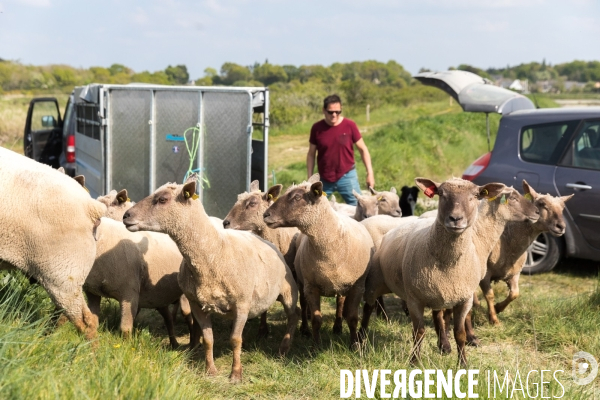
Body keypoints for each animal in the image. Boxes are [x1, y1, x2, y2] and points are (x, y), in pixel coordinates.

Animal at [122, 177, 300, 382]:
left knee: (294, 315)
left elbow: (235, 339)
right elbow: (208, 339)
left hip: (288, 289)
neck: (215, 252)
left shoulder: (242, 304)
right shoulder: (197, 304)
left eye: (162, 199)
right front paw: (210, 370)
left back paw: (284, 348)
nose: (126, 216)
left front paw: (235, 374)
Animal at [360, 178, 540, 366]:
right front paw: (415, 362)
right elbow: (419, 332)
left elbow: (459, 331)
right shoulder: (416, 299)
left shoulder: (461, 292)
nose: (455, 219)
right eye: (441, 194)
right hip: (375, 281)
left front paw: (463, 360)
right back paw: (361, 340)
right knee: (368, 307)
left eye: (475, 196)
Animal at [482, 181, 572, 324]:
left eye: (563, 207)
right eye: (542, 204)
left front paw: (498, 308)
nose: (561, 227)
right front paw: (494, 319)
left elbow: (514, 294)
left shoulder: (514, 273)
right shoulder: (485, 273)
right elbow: (489, 295)